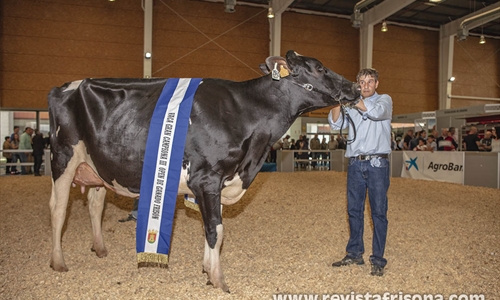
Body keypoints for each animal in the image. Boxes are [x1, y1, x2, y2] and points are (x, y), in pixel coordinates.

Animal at [47, 50, 360, 292]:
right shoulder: (207, 179)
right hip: (63, 158)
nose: (356, 87)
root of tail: (62, 87)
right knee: (59, 209)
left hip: (96, 167)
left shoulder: (219, 183)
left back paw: (100, 249)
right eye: (319, 68)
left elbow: (214, 232)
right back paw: (58, 262)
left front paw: (208, 272)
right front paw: (219, 281)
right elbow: (215, 231)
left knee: (95, 203)